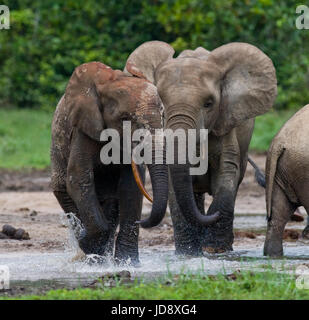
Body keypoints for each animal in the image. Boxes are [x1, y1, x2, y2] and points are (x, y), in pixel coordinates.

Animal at [124, 40, 276, 255]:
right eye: (160, 104)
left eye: (209, 103)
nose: (140, 221)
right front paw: (187, 253)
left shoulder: (225, 124)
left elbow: (226, 175)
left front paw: (214, 249)